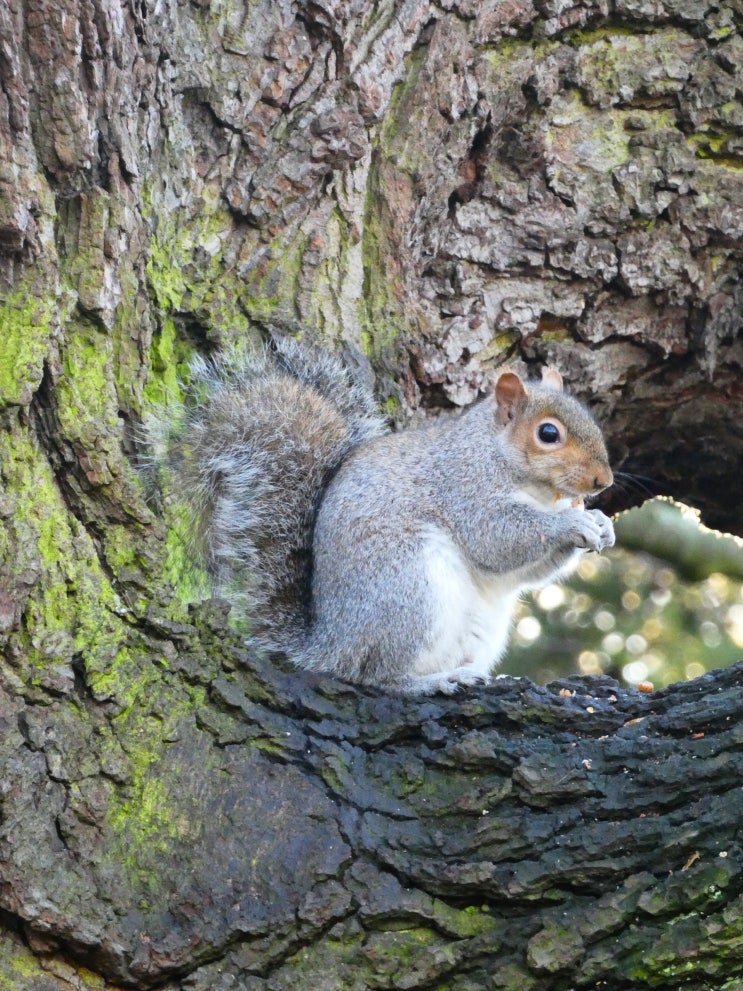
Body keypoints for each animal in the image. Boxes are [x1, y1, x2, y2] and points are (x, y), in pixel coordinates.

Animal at [153, 338, 616, 692]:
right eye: (548, 434)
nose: (604, 480)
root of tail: (331, 645)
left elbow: (525, 572)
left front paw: (602, 525)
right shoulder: (464, 487)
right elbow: (496, 538)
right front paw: (572, 523)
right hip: (409, 589)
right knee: (377, 676)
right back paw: (431, 682)